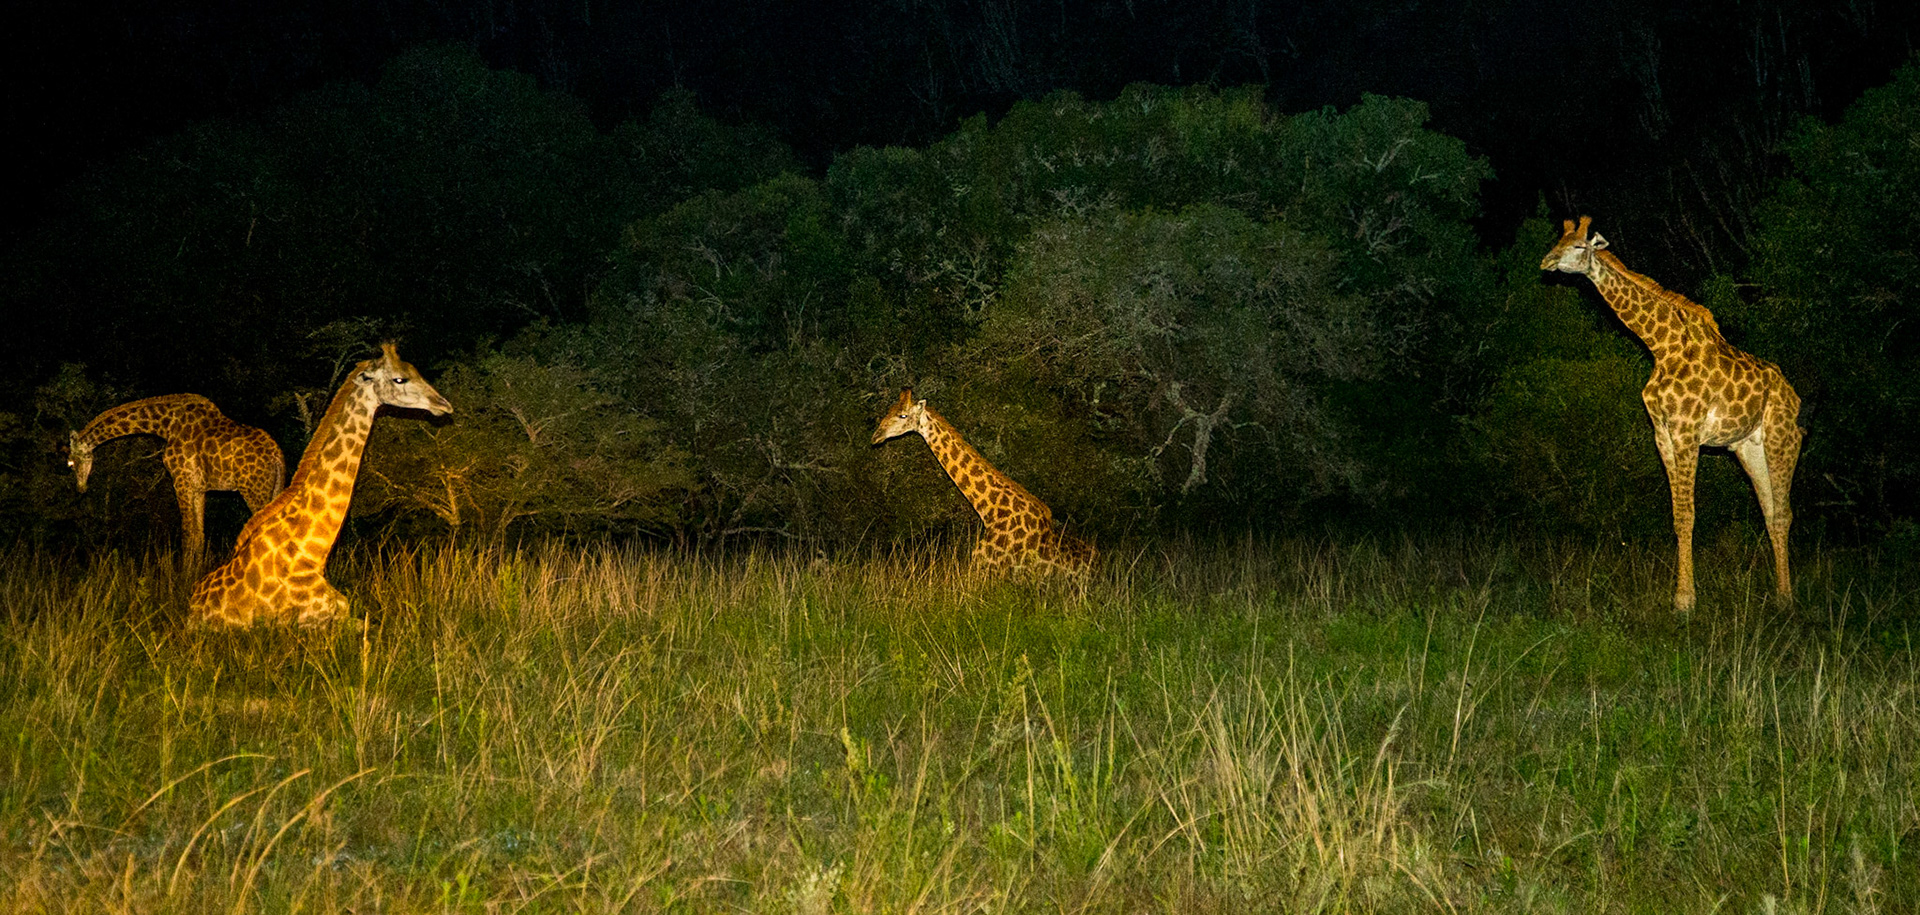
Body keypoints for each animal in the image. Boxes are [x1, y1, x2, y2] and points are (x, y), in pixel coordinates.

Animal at [69, 394, 286, 563]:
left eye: (70, 462)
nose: (80, 488)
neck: (165, 425)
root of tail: (277, 456)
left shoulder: (181, 481)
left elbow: (187, 535)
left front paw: (183, 580)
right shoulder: (199, 488)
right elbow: (199, 535)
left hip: (253, 489)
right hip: (273, 488)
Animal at [1542, 216, 1803, 613]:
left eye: (1578, 246)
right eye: (1558, 240)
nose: (1546, 262)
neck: (1661, 347)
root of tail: (1795, 398)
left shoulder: (1687, 432)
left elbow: (1689, 513)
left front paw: (1685, 601)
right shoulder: (1662, 435)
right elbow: (1678, 516)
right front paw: (1680, 595)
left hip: (1781, 440)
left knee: (1784, 512)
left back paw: (1787, 599)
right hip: (1749, 448)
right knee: (1771, 513)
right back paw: (1778, 593)